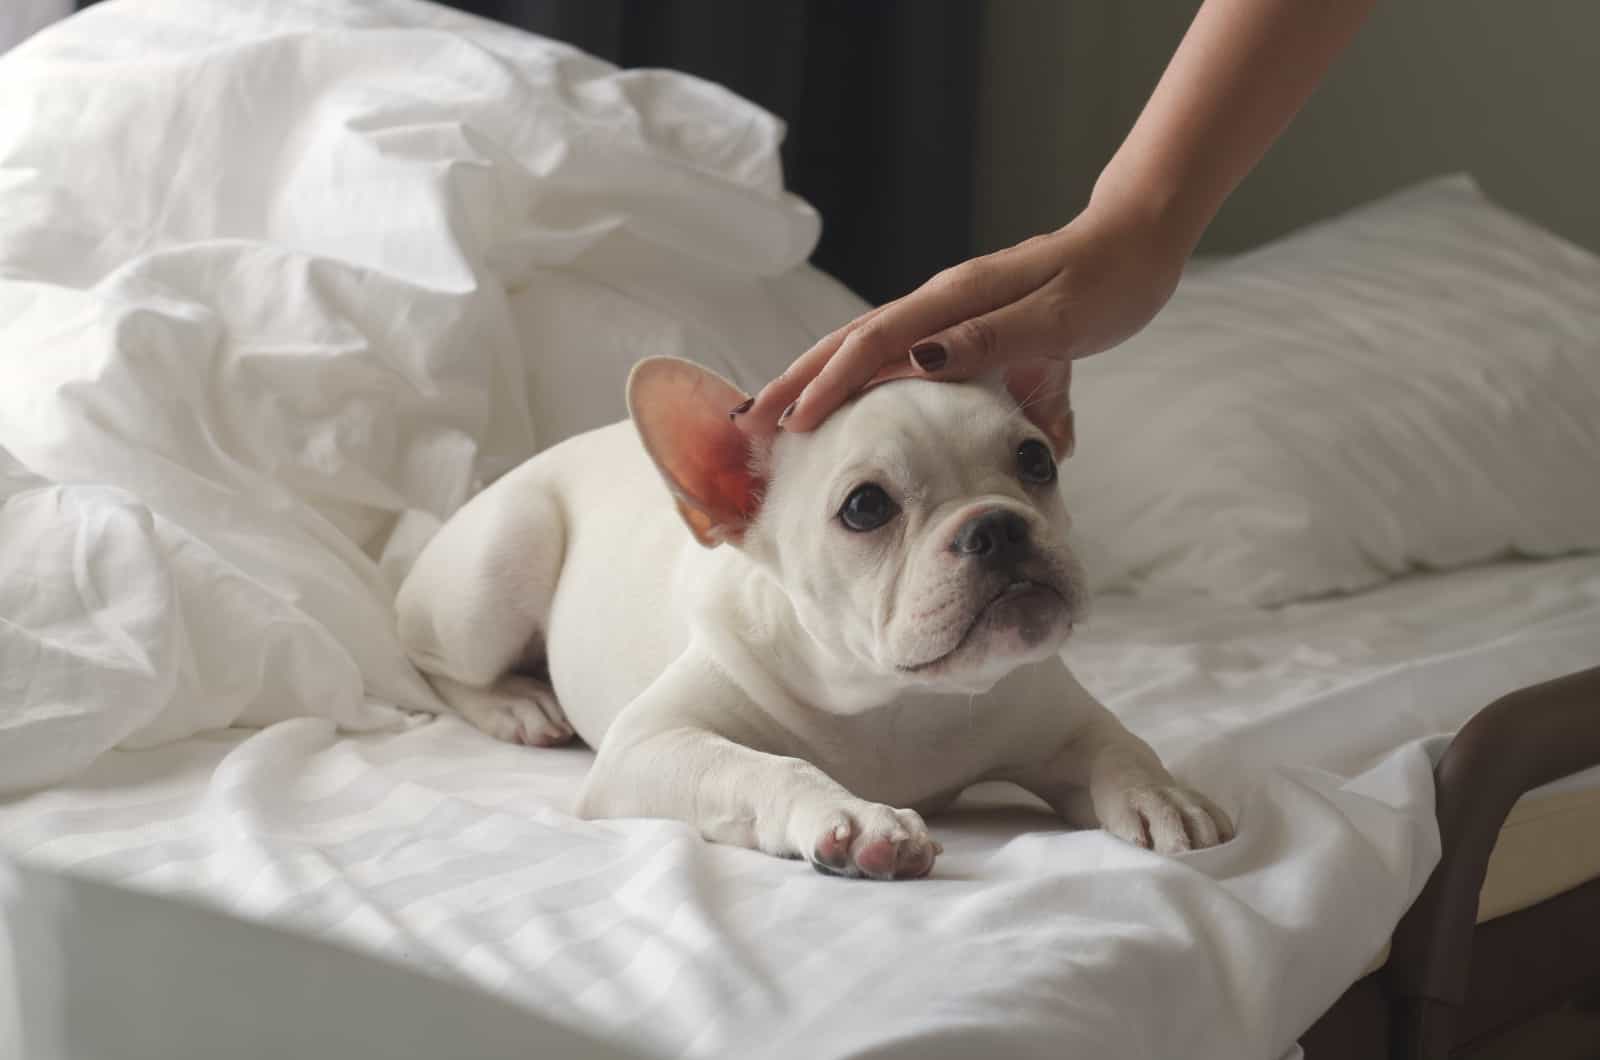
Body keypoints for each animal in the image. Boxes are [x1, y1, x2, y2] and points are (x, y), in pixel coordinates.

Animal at [393, 357, 1228, 877]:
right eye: (865, 508)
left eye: (1036, 461)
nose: (998, 525)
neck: (896, 700)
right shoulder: (649, 744)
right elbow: (759, 766)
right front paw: (854, 818)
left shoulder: (1056, 718)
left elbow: (1117, 741)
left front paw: (1162, 794)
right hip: (502, 561)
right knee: (431, 664)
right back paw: (518, 703)